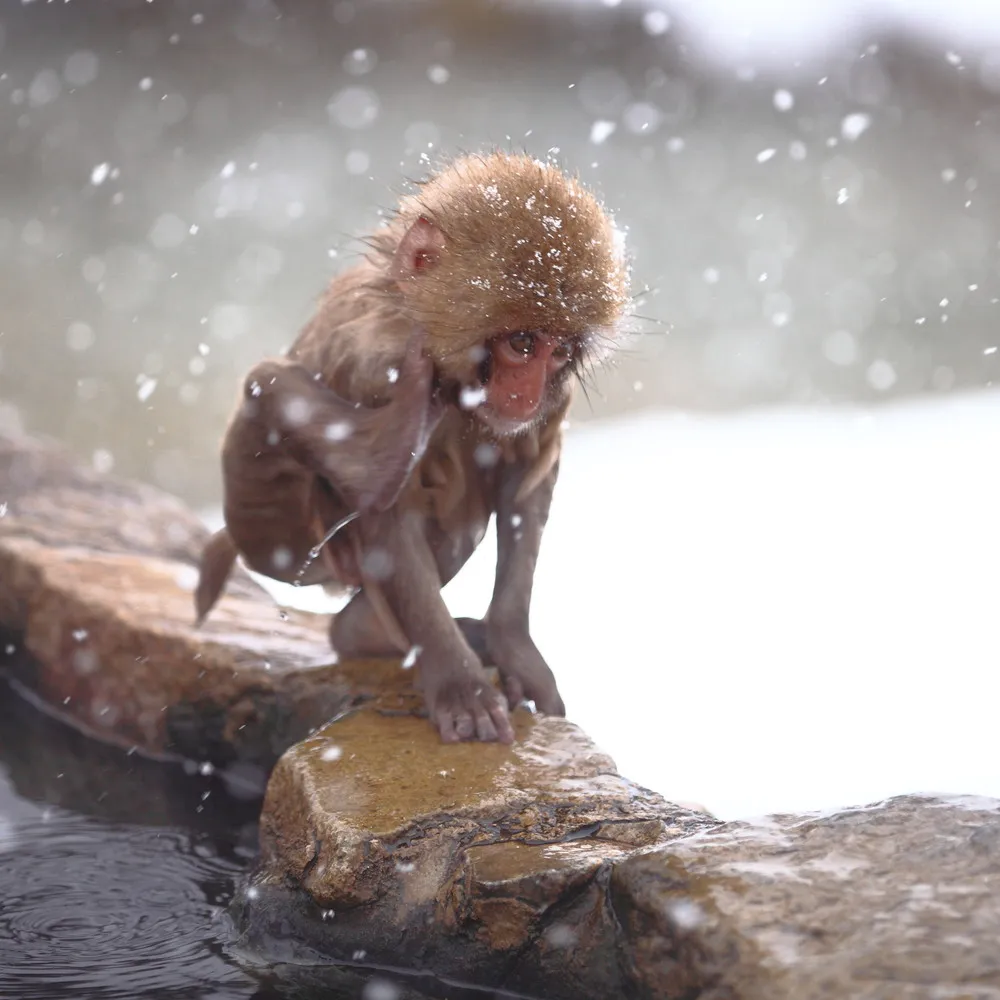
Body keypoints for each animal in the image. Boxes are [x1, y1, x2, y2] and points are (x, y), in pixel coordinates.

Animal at [194, 151, 630, 744]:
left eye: (558, 351)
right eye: (522, 344)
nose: (527, 394)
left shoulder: (550, 403)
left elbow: (524, 486)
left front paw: (513, 645)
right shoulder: (374, 363)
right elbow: (390, 527)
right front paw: (460, 685)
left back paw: (365, 631)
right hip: (275, 528)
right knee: (269, 391)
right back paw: (377, 457)